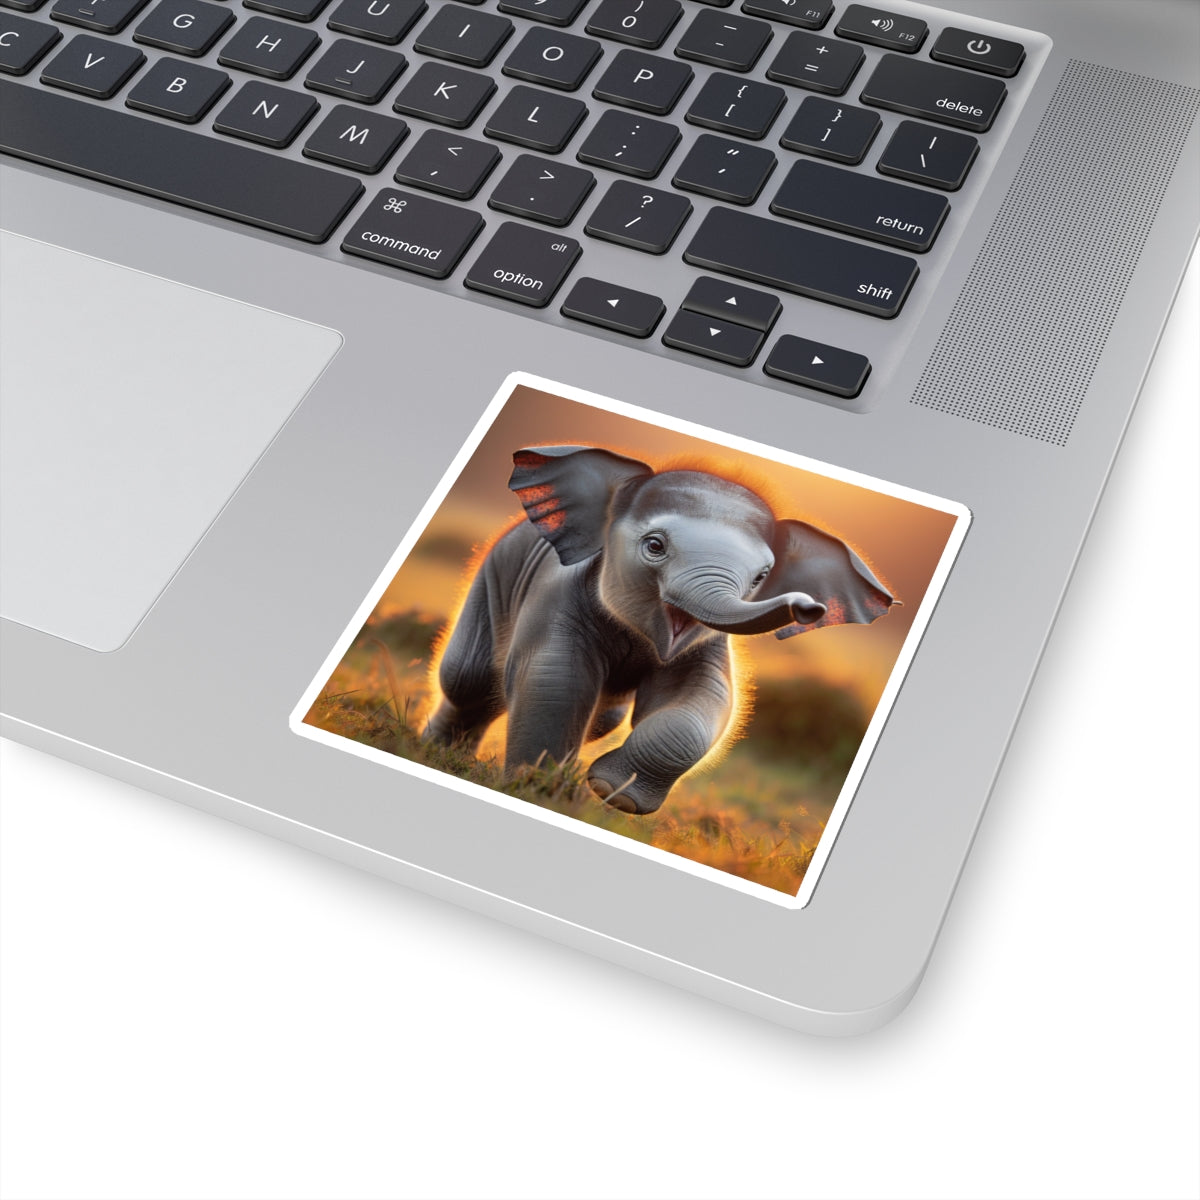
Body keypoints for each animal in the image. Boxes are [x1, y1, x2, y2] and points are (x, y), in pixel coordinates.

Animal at [423, 444, 894, 815]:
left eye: (761, 577)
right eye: (654, 546)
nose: (809, 607)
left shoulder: (707, 644)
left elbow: (705, 700)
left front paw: (612, 793)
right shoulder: (557, 592)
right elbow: (554, 676)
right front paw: (533, 790)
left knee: (604, 718)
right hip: (493, 573)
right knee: (469, 678)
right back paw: (436, 751)